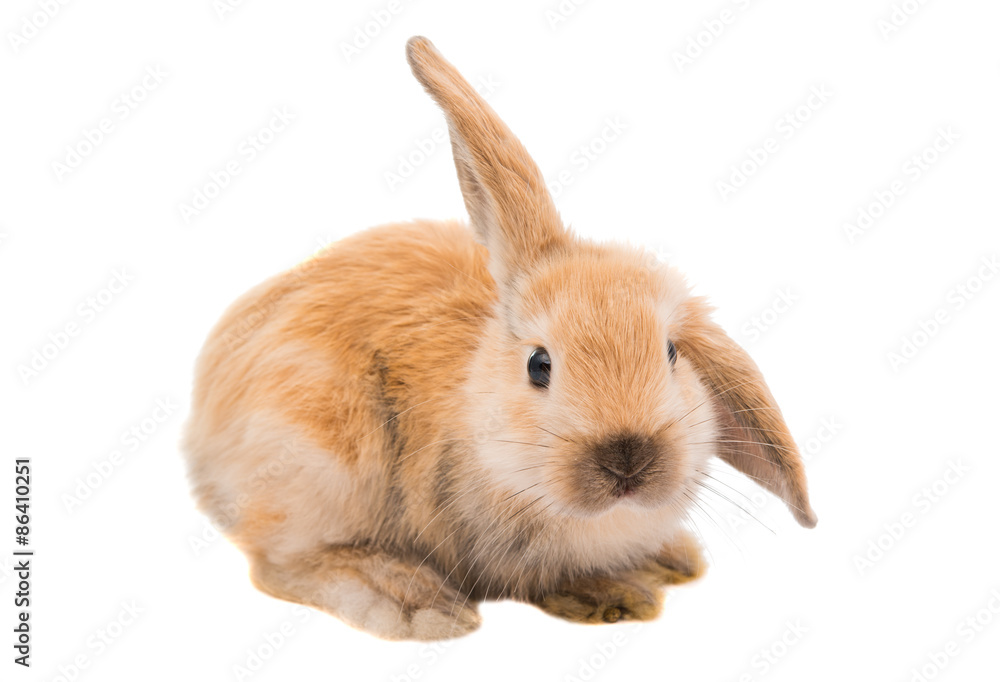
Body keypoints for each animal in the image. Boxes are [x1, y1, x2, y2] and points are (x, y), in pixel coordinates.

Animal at [182, 36, 817, 642]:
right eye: (539, 364)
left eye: (671, 353)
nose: (627, 459)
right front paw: (612, 593)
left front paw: (664, 562)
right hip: (317, 460)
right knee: (283, 562)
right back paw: (411, 600)